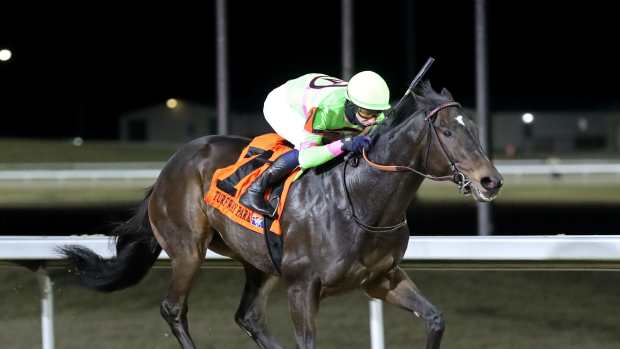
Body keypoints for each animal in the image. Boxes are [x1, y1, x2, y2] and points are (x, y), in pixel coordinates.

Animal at [59, 80, 504, 346]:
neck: (363, 201)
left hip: (260, 263)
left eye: (475, 128)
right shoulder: (303, 287)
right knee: (174, 309)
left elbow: (435, 319)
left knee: (250, 317)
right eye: (447, 132)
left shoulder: (381, 279)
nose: (491, 181)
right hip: (188, 249)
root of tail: (171, 165)